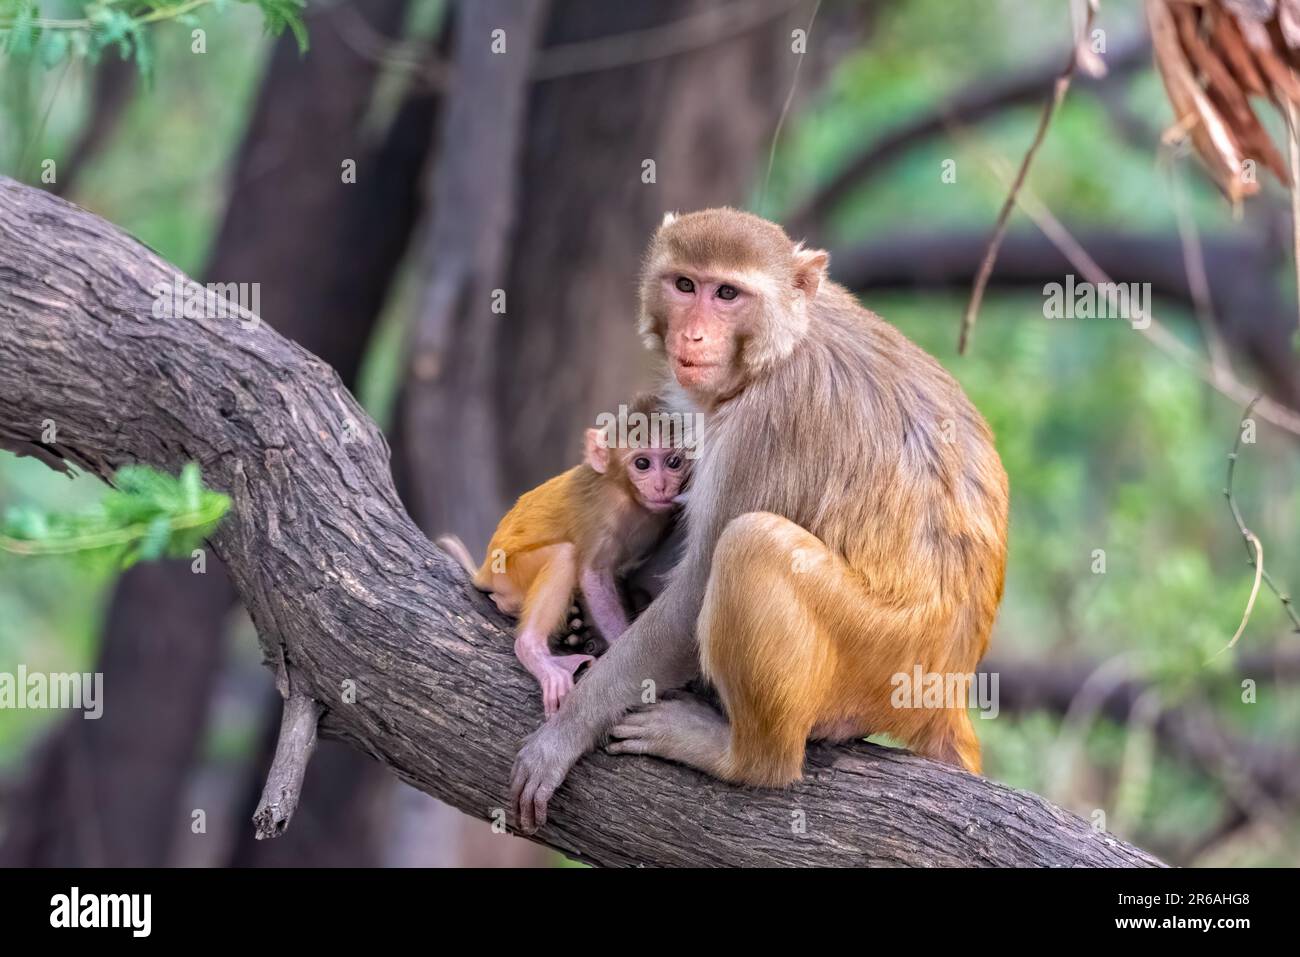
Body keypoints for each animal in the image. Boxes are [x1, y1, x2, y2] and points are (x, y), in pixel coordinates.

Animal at [439, 394, 692, 718]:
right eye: (643, 463)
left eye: (673, 462)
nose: (661, 486)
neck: (627, 494)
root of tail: (483, 570)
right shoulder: (601, 510)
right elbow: (593, 575)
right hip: (508, 571)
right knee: (563, 555)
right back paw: (532, 648)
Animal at [509, 208, 1008, 832]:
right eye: (685, 285)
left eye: (728, 293)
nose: (693, 335)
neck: (778, 349)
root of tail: (947, 690)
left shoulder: (768, 423)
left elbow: (693, 595)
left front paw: (564, 735)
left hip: (880, 661)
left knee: (751, 542)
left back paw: (744, 759)